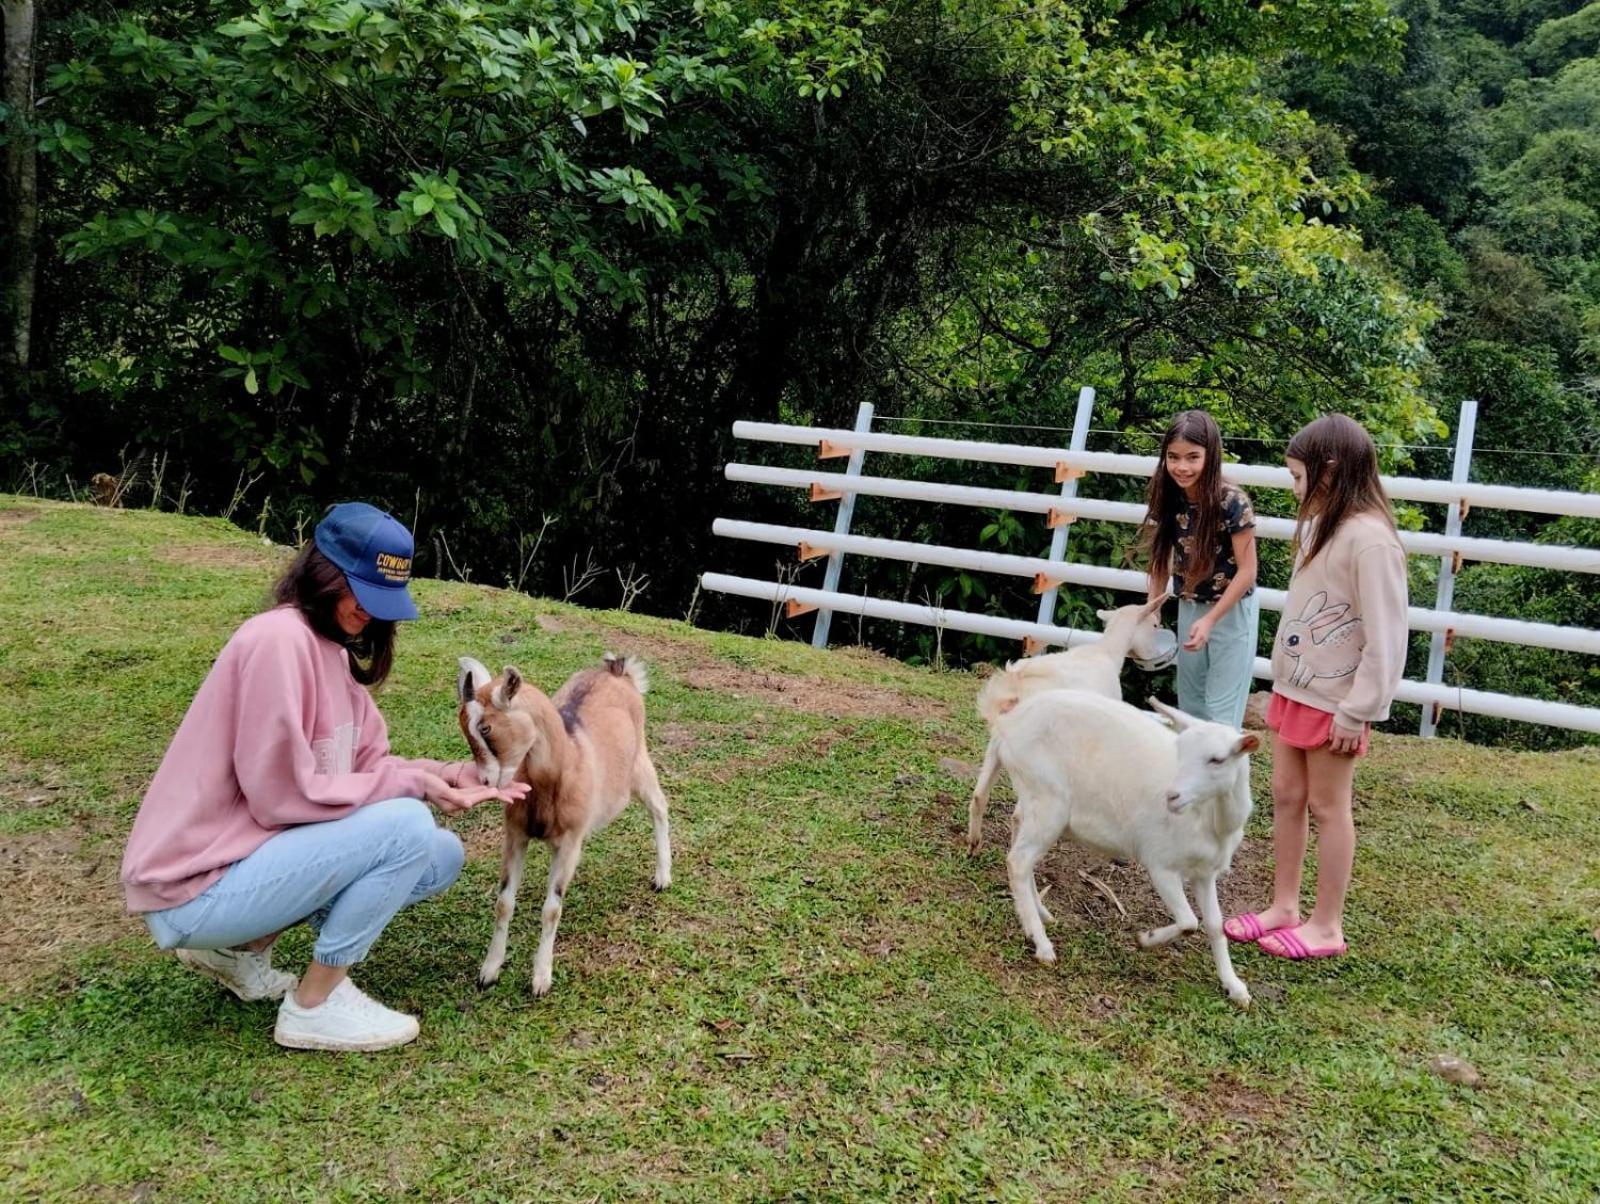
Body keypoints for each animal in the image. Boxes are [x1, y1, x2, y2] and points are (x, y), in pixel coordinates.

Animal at [960, 595, 1177, 858]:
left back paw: (973, 846)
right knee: (1019, 815)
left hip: (998, 743)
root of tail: (1016, 688)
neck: (1106, 652)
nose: (1153, 655)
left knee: (979, 795)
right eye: (1155, 625)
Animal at [985, 685, 1260, 1005]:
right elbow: (1189, 922)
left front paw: (1235, 987)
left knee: (1019, 838)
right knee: (1018, 861)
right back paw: (1041, 943)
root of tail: (1008, 725)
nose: (1172, 796)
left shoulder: (1205, 872)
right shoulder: (1161, 863)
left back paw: (1040, 915)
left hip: (1036, 800)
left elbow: (1215, 925)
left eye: (1217, 759)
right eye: (1180, 752)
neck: (1211, 821)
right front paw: (1145, 940)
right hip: (1047, 797)